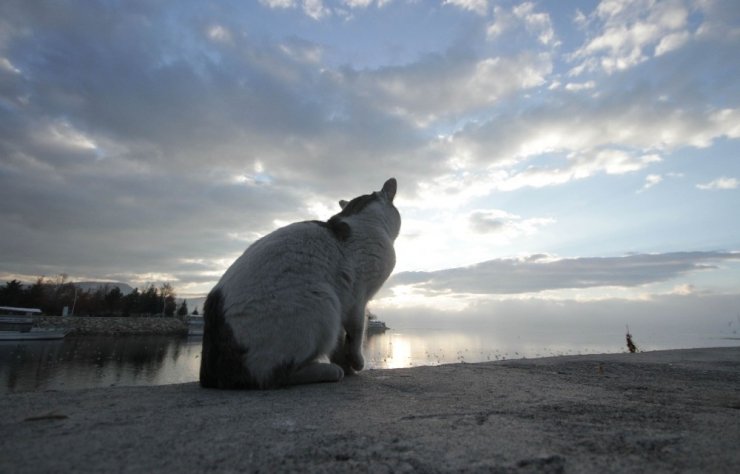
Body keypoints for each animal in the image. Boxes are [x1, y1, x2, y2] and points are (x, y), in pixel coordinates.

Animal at [199, 178, 402, 388]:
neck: (364, 220)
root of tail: (210, 376)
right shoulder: (357, 299)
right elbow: (357, 333)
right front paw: (355, 363)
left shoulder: (346, 302)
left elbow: (339, 342)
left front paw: (347, 366)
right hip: (324, 300)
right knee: (273, 375)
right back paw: (330, 371)